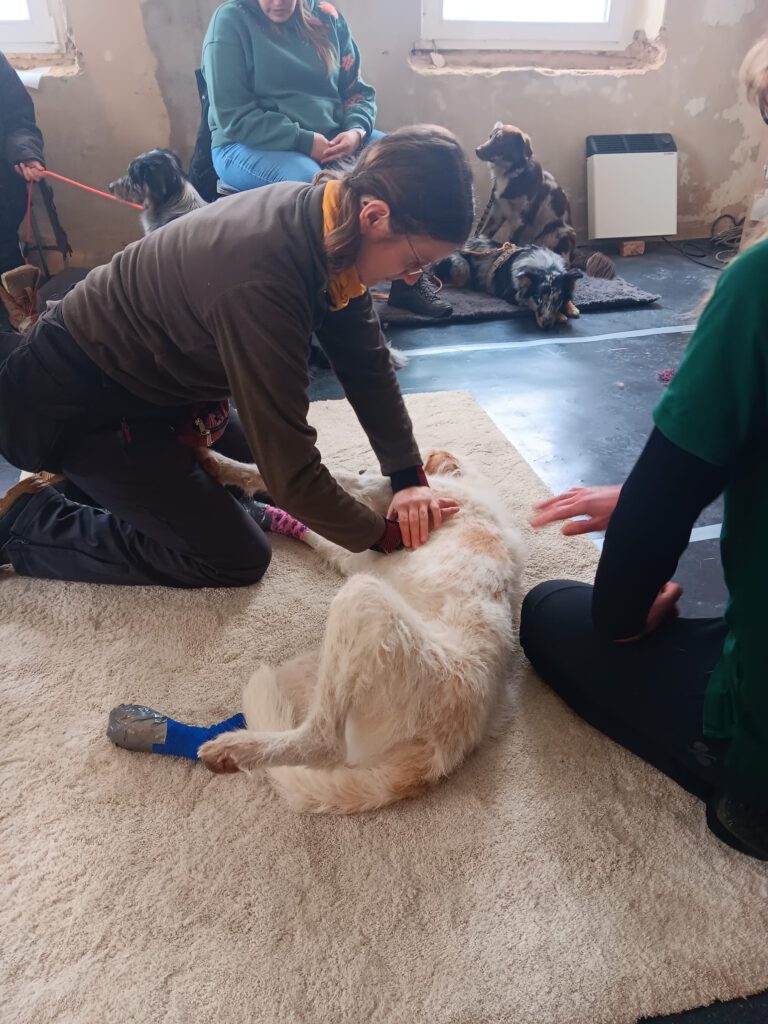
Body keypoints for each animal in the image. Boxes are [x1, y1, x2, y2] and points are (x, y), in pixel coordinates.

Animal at [195, 447, 525, 813]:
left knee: (323, 743)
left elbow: (327, 477)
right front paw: (284, 520)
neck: (466, 483)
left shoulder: (378, 495)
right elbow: (325, 537)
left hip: (362, 596)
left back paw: (234, 750)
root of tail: (445, 749)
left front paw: (219, 464)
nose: (368, 466)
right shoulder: (361, 552)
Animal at [433, 236, 581, 329]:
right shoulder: (512, 296)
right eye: (538, 299)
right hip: (462, 267)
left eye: (557, 300)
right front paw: (561, 316)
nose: (547, 326)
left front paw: (571, 308)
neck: (546, 267)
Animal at [475, 123, 615, 279]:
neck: (512, 173)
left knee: (564, 262)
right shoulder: (497, 214)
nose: (477, 150)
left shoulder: (520, 221)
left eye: (501, 141)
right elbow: (483, 235)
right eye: (490, 136)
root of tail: (574, 253)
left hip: (561, 233)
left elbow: (509, 246)